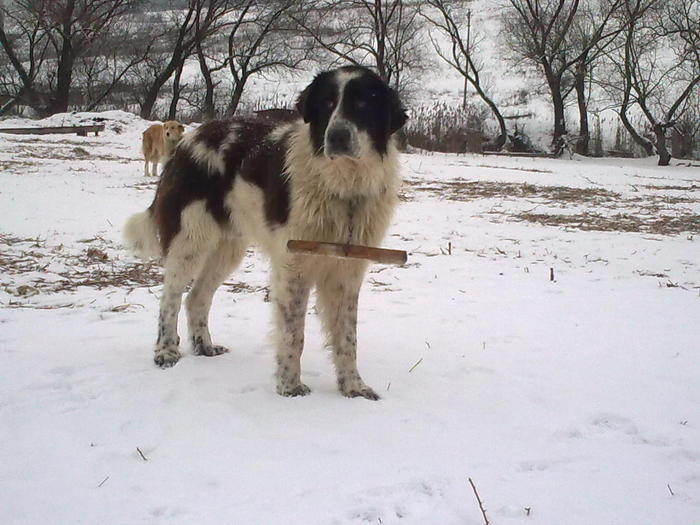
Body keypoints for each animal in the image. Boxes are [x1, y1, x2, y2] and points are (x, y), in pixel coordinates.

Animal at [125, 67, 408, 400]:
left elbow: (347, 337)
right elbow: (293, 333)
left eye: (363, 103)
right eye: (326, 103)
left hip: (228, 248)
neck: (344, 186)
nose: (337, 136)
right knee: (169, 297)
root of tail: (189, 139)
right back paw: (166, 351)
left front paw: (353, 387)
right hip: (190, 240)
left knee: (196, 297)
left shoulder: (346, 270)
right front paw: (290, 386)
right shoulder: (294, 266)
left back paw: (204, 346)